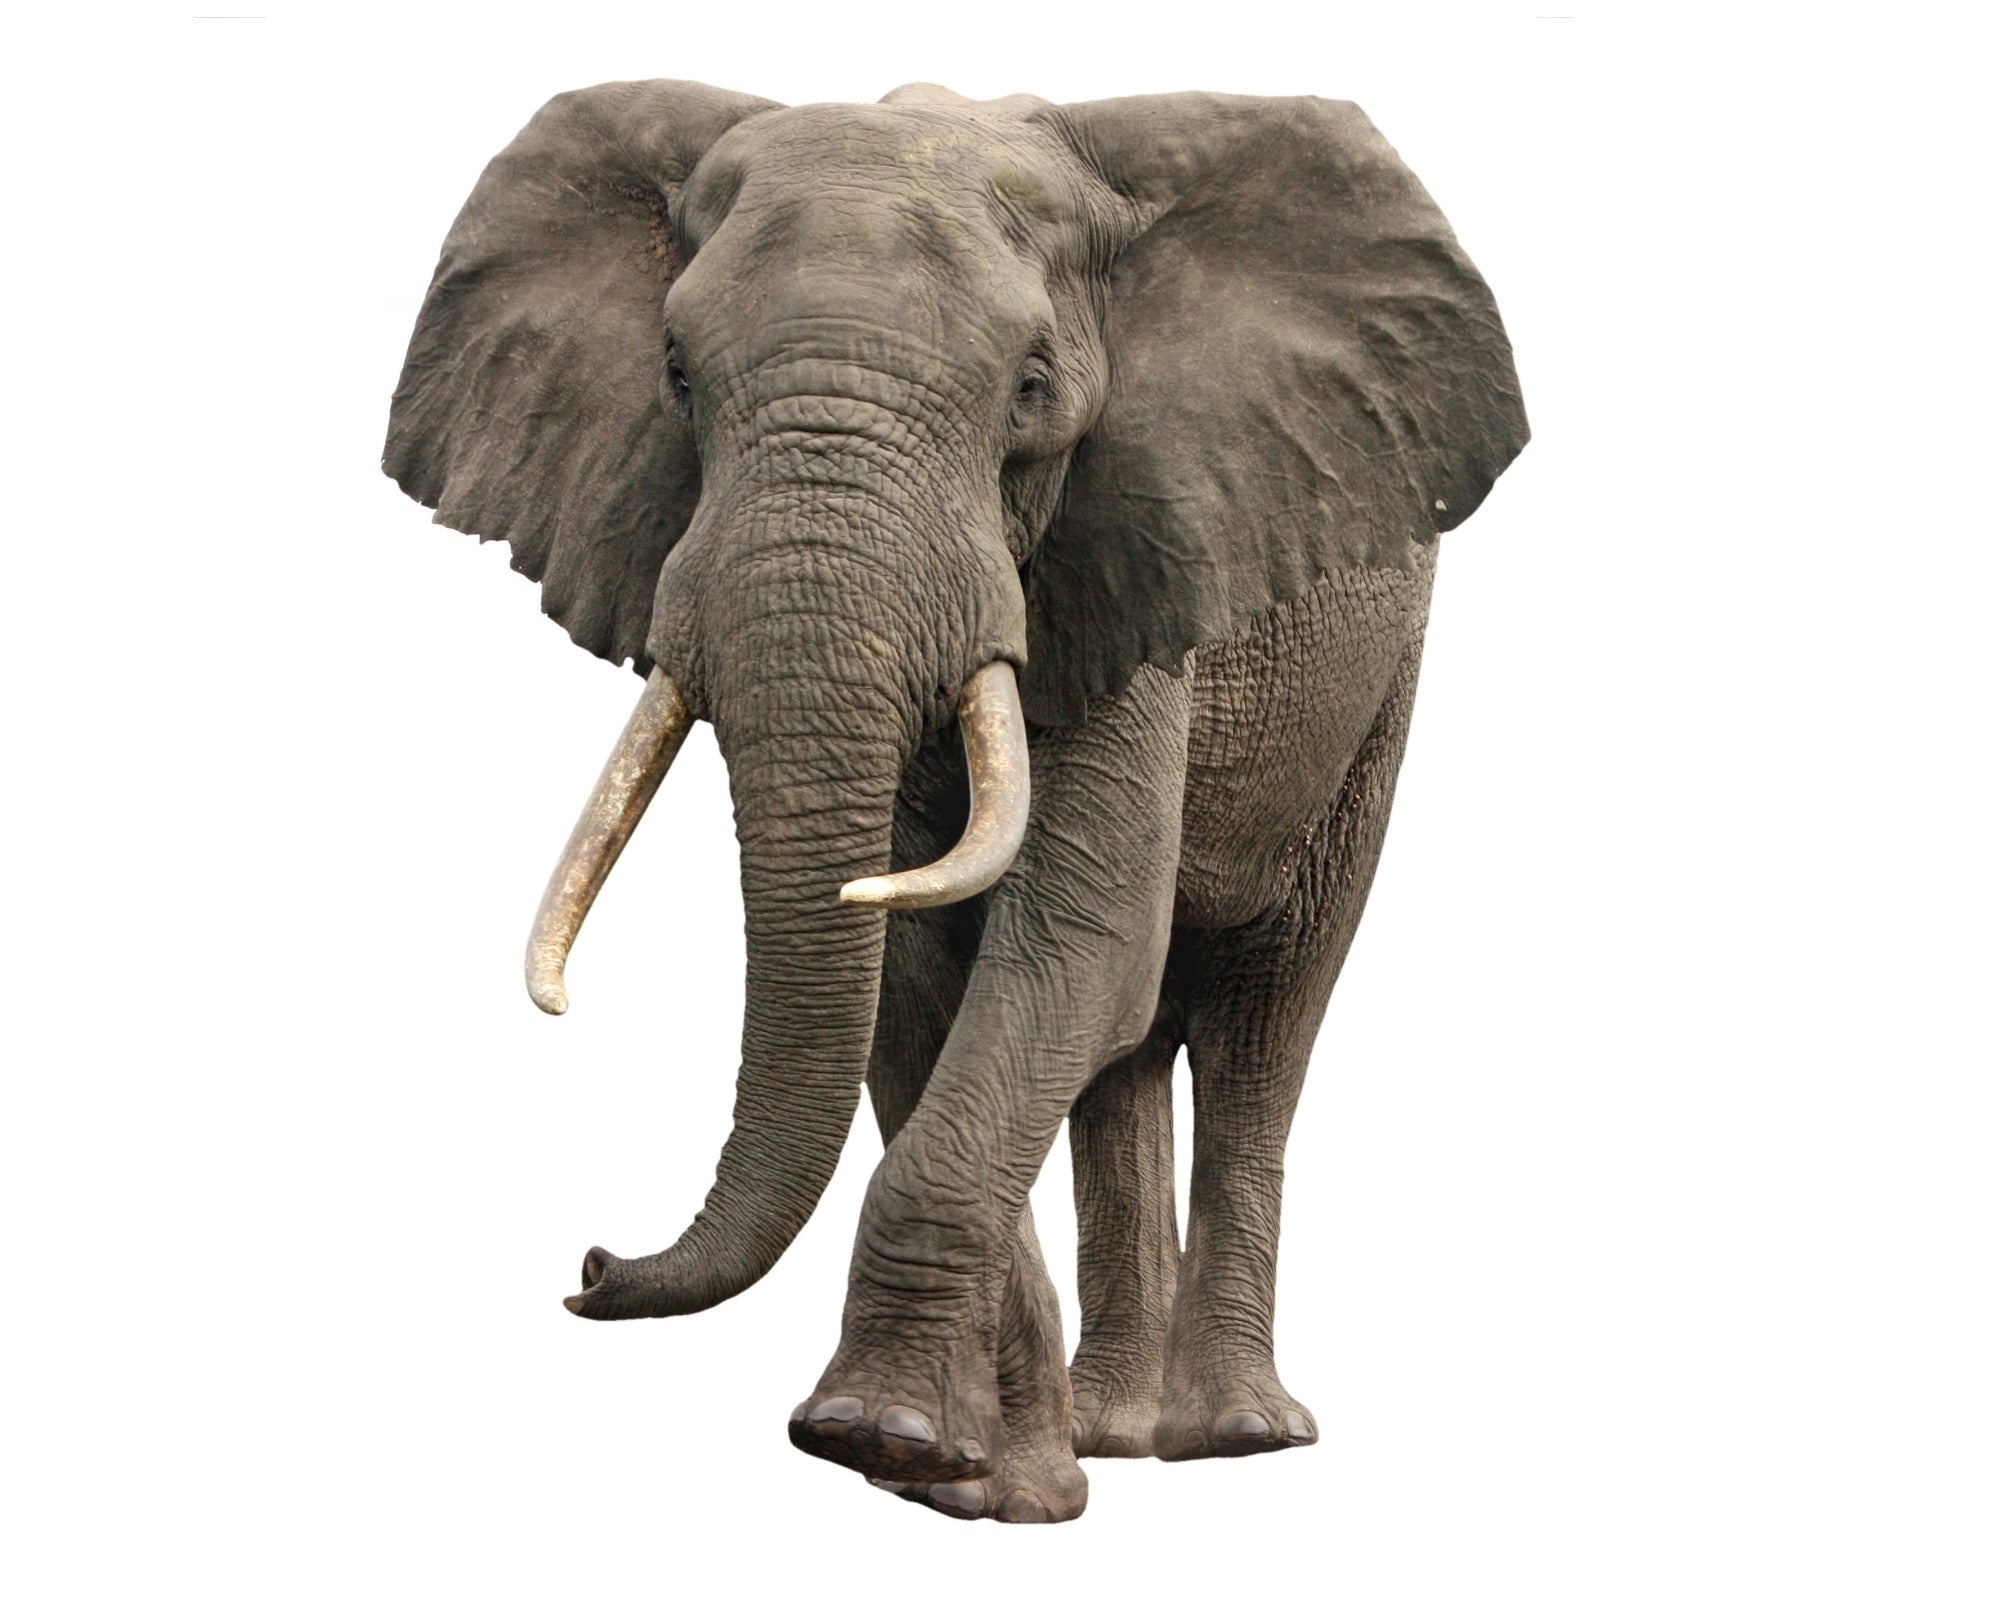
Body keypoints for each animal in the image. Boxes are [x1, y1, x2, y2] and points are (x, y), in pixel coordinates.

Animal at [384, 79, 1527, 1523]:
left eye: (1031, 389)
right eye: (677, 377)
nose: (591, 1264)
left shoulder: (1130, 554)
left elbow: (1071, 950)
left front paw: (880, 1437)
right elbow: (918, 978)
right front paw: (975, 1482)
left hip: (1372, 679)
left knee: (1265, 1009)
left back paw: (1238, 1436)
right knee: (1127, 1055)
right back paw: (1112, 1433)